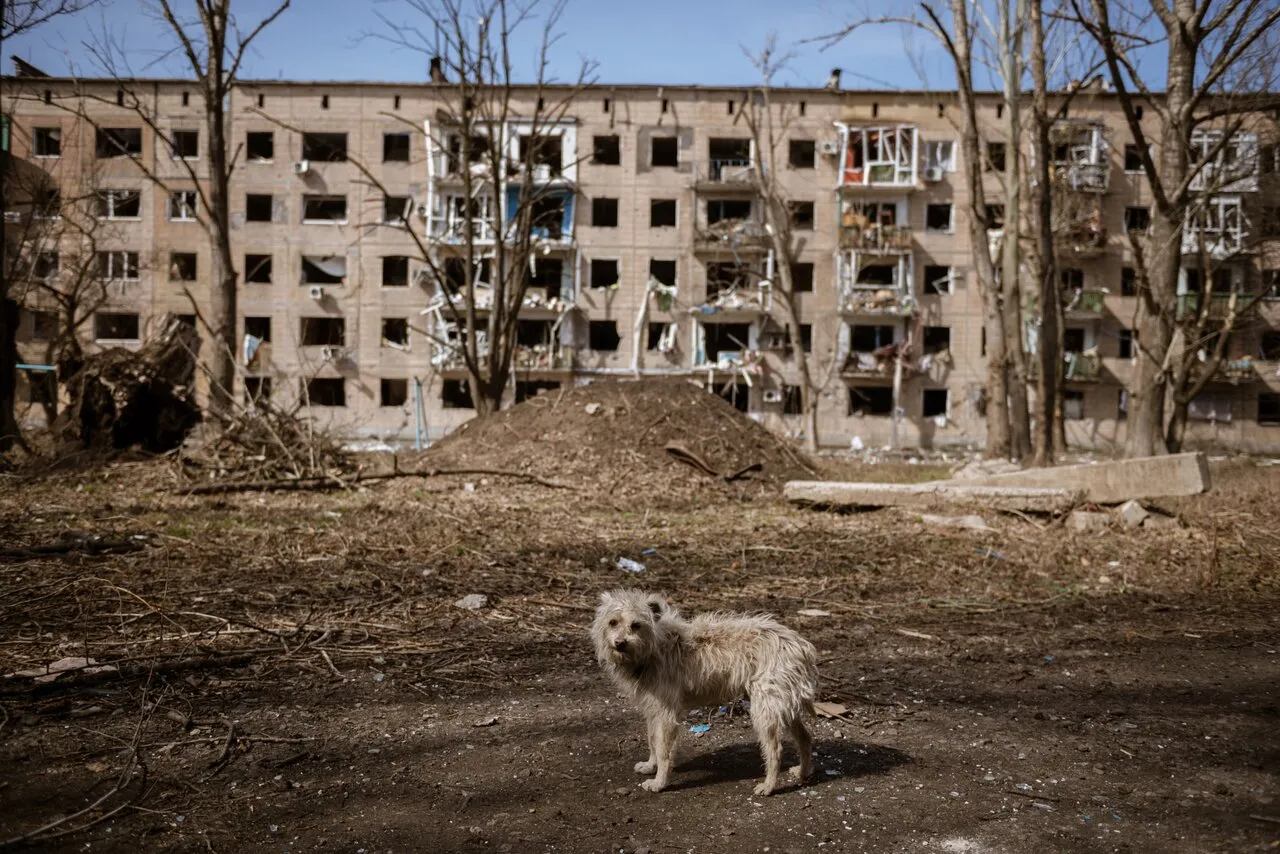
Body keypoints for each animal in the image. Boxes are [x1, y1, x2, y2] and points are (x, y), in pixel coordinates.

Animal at [591, 588, 819, 793]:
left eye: (636, 625)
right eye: (613, 622)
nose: (619, 643)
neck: (653, 648)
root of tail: (800, 645)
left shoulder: (666, 714)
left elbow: (663, 750)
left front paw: (659, 782)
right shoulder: (653, 709)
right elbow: (652, 740)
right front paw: (650, 766)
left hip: (766, 708)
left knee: (775, 750)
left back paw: (769, 786)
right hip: (783, 704)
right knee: (805, 737)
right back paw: (803, 772)